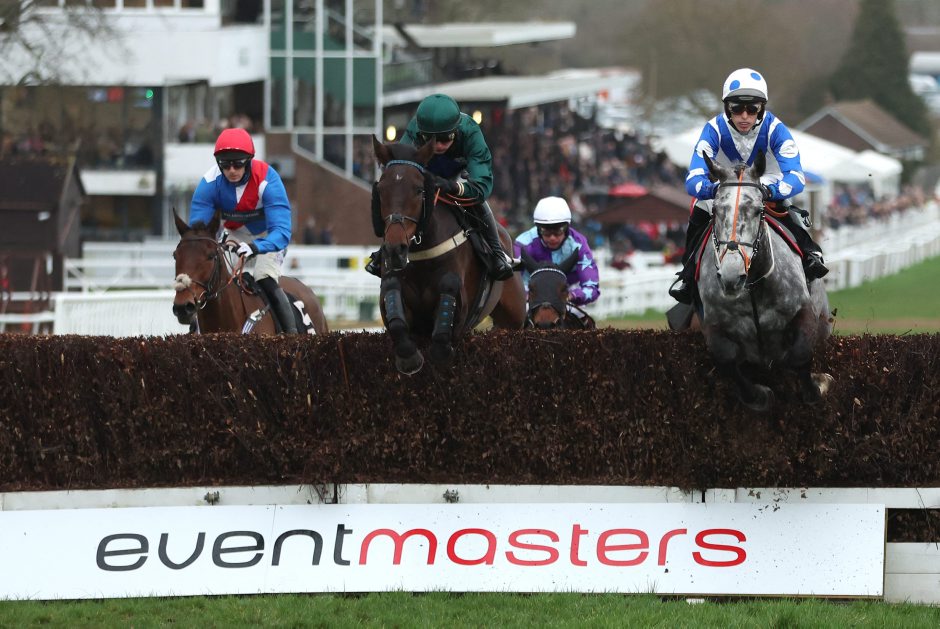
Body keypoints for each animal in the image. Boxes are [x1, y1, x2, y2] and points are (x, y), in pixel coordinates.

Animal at [371, 136, 526, 374]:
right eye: (381, 189)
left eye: (419, 190)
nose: (395, 248)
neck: (422, 253)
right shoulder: (393, 279)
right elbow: (394, 311)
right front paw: (409, 358)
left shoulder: (460, 301)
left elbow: (448, 298)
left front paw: (440, 353)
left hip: (514, 314)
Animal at [694, 153, 832, 411]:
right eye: (716, 210)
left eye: (758, 210)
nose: (731, 276)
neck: (752, 287)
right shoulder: (713, 324)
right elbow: (726, 359)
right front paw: (759, 395)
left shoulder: (805, 310)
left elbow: (799, 353)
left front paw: (818, 385)